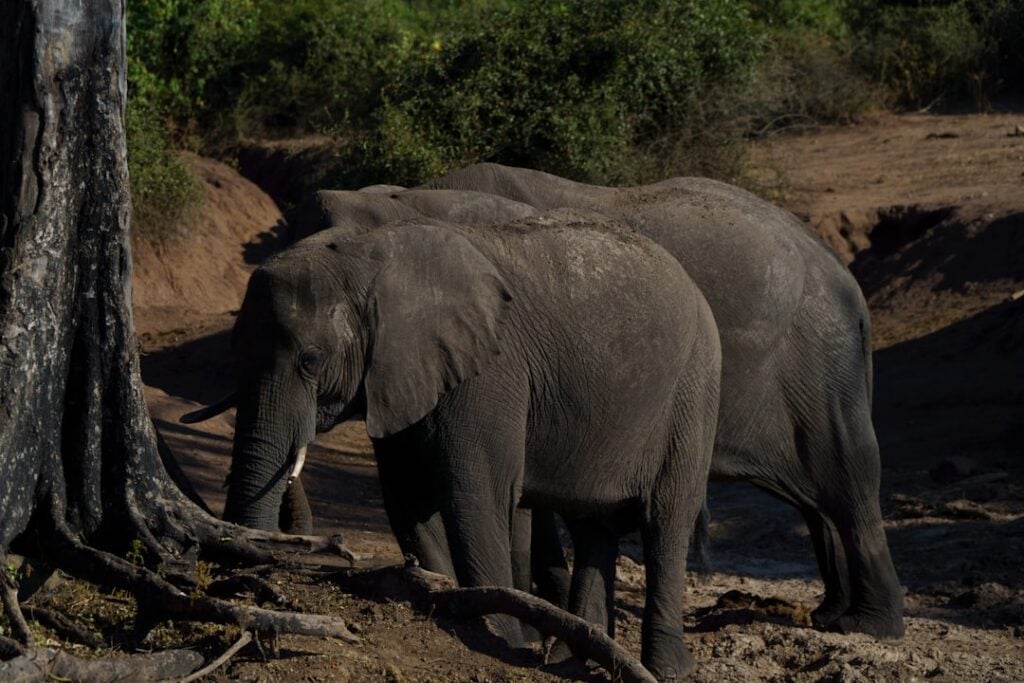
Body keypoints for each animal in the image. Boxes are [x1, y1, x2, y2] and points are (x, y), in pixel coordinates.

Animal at [215, 213, 721, 679]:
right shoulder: (403, 378)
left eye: (310, 360)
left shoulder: (489, 372)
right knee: (592, 528)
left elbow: (474, 500)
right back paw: (574, 658)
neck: (371, 252)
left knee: (665, 523)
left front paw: (500, 635)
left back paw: (665, 670)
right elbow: (409, 504)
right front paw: (446, 597)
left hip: (693, 394)